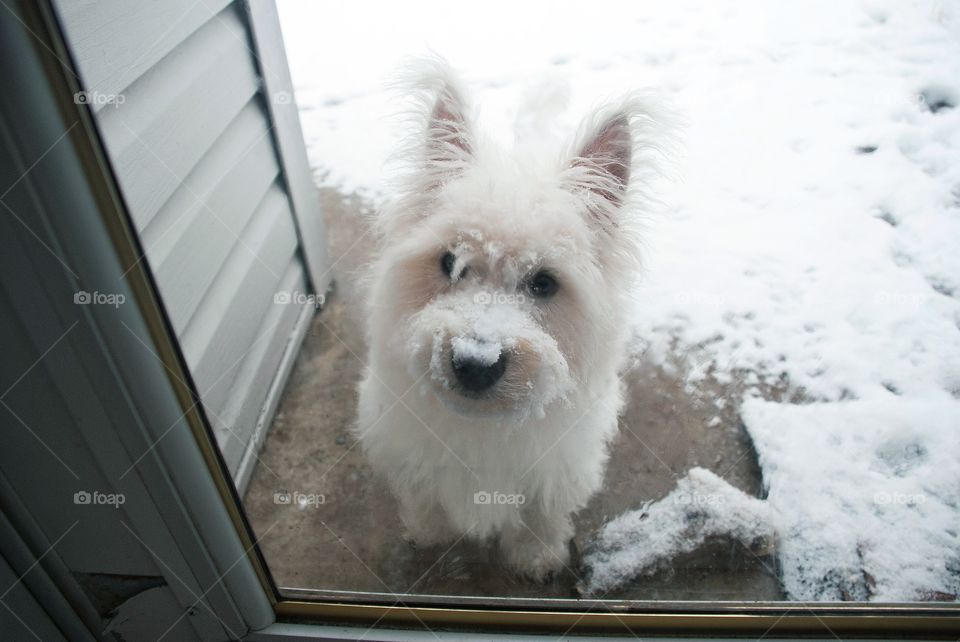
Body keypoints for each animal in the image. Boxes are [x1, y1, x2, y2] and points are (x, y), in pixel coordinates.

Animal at [352, 60, 676, 580]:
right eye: (450, 263)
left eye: (543, 283)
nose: (474, 363)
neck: (484, 427)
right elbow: (425, 499)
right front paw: (429, 533)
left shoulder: (556, 469)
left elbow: (540, 515)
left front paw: (537, 558)